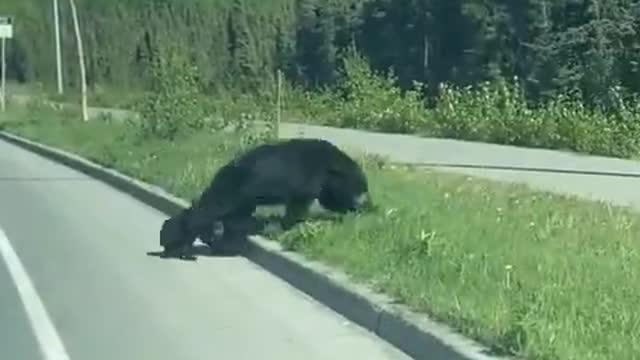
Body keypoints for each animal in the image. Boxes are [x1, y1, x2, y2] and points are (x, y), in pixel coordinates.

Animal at [157, 138, 372, 258]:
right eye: (361, 186)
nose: (364, 200)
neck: (331, 165)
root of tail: (221, 171)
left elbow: (327, 199)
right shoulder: (309, 176)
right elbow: (300, 203)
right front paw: (289, 225)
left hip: (241, 196)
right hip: (232, 190)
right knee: (206, 211)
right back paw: (177, 244)